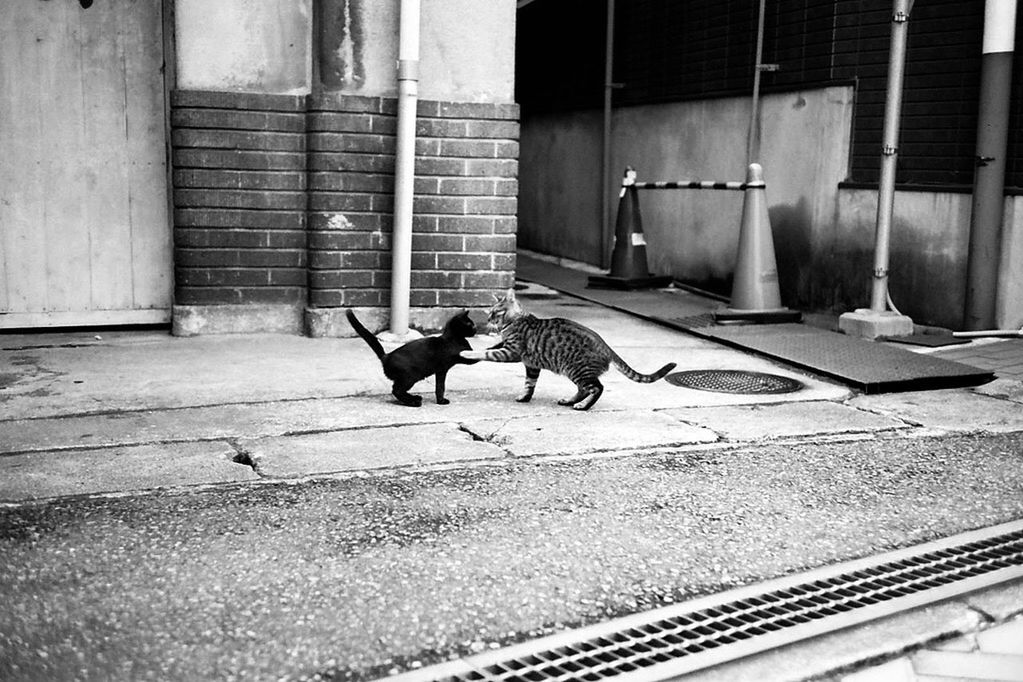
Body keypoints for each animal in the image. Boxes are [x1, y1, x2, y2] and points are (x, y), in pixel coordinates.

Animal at [345, 312, 480, 408]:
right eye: (471, 324)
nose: (476, 328)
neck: (452, 338)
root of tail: (386, 356)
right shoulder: (462, 358)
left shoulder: (441, 371)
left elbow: (440, 387)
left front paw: (440, 400)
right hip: (410, 377)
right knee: (396, 390)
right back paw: (414, 402)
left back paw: (414, 398)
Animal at [460, 290, 675, 411]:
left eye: (495, 312)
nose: (488, 320)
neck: (516, 320)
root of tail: (607, 347)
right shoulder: (531, 365)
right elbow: (529, 384)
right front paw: (525, 397)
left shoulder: (511, 352)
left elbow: (486, 353)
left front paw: (466, 353)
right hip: (575, 372)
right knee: (583, 389)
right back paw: (569, 400)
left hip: (578, 370)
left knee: (597, 388)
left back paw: (582, 406)